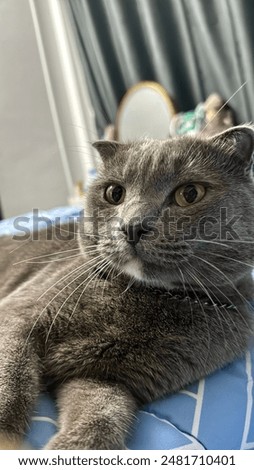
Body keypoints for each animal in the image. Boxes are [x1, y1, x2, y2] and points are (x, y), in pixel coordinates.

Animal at [0, 125, 254, 448]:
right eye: (114, 193)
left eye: (190, 194)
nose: (133, 225)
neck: (146, 294)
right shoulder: (18, 317)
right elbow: (11, 381)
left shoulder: (109, 378)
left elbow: (103, 419)